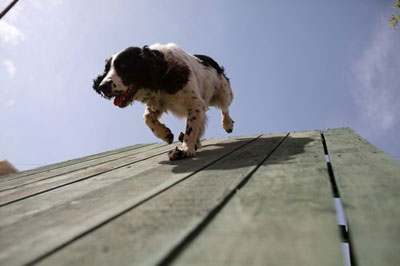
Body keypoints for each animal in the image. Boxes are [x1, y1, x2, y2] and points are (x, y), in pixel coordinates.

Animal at [92, 43, 233, 160]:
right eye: (106, 70)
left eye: (124, 67)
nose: (102, 87)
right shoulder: (158, 102)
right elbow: (147, 117)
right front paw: (165, 134)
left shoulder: (195, 103)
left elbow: (191, 127)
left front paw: (184, 149)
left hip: (224, 92)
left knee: (225, 108)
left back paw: (227, 124)